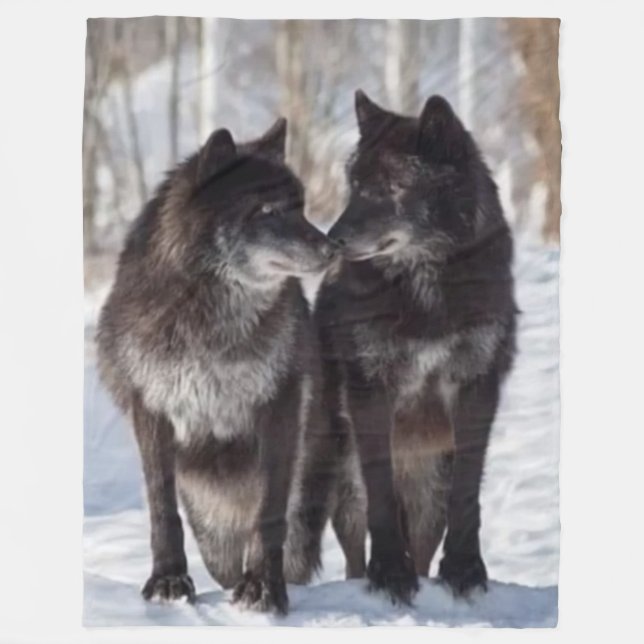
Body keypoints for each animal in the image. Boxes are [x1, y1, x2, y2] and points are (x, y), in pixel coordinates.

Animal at [96, 118, 338, 615]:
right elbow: (161, 507)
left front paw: (263, 588)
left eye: (301, 207)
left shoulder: (280, 406)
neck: (209, 320)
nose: (333, 248)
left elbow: (268, 511)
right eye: (266, 210)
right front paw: (168, 582)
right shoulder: (151, 408)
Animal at [316, 91, 517, 604]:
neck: (424, 281)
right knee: (352, 551)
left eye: (392, 186)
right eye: (354, 185)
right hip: (344, 485)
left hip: (430, 494)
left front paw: (465, 569)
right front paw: (389, 571)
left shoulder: (476, 388)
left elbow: (469, 493)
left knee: (425, 544)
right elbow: (381, 493)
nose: (332, 240)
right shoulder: (371, 390)